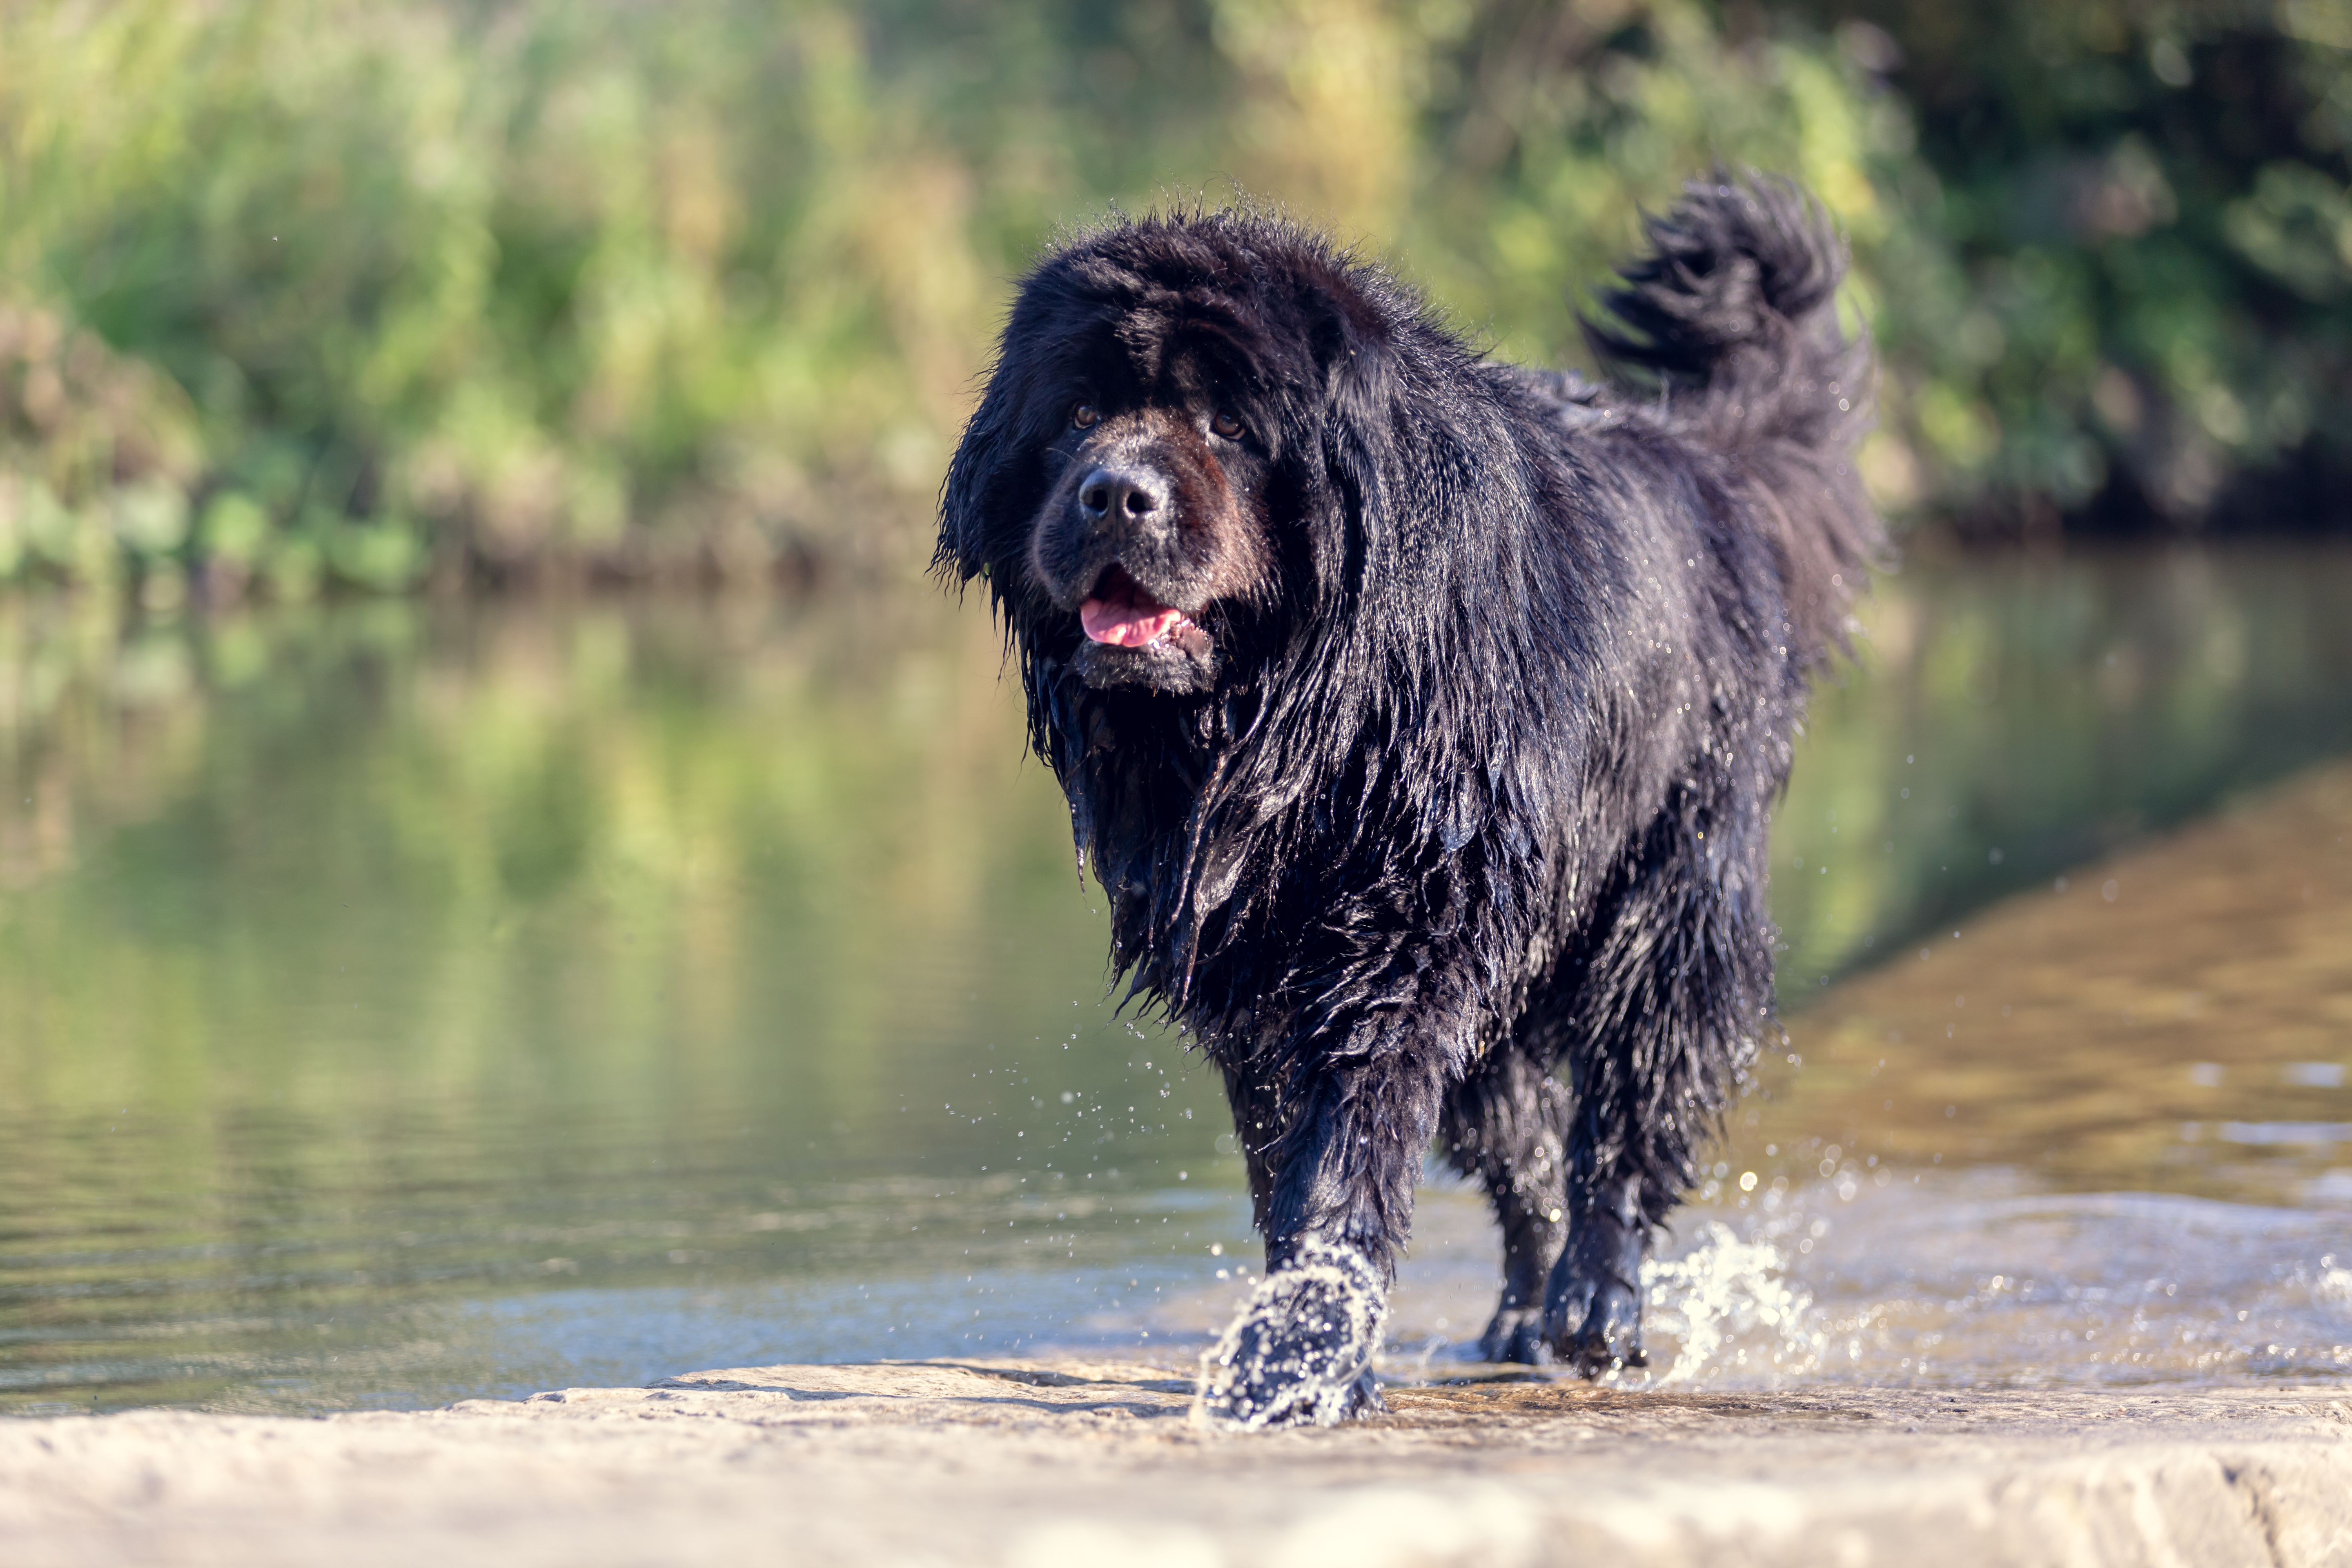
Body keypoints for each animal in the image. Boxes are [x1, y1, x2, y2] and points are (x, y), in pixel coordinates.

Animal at [936, 177, 1872, 1429]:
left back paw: (1595, 1304)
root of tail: (1702, 462)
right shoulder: (1260, 974)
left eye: (1226, 424)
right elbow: (1292, 1160)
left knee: (1625, 1115)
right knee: (1525, 1154)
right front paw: (1308, 1337)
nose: (1114, 494)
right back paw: (1519, 1316)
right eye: (1080, 409)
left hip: (1670, 894)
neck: (1302, 723)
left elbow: (1348, 1152)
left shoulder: (1395, 945)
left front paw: (1297, 1360)